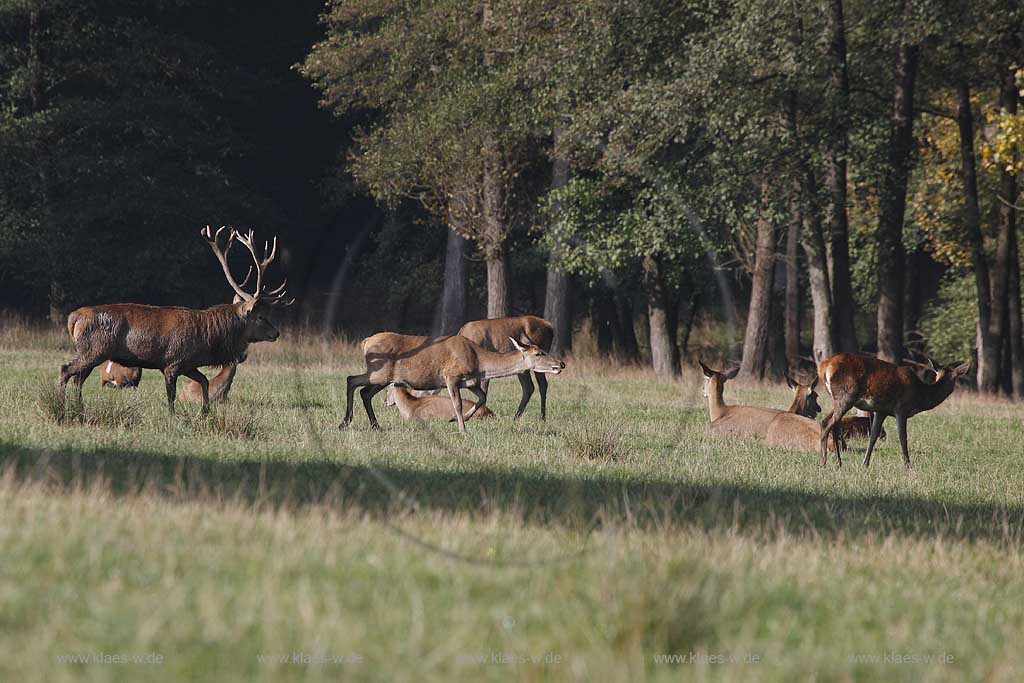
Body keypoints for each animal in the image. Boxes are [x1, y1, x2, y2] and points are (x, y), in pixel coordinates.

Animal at [58, 227, 292, 413]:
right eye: (261, 316)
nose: (276, 333)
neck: (208, 339)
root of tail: (73, 318)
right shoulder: (173, 360)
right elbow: (171, 396)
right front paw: (173, 416)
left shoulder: (188, 364)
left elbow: (204, 381)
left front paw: (205, 411)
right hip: (94, 349)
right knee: (65, 370)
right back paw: (60, 405)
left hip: (91, 352)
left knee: (78, 378)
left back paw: (79, 407)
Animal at [342, 331, 569, 432]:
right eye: (539, 353)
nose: (561, 363)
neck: (479, 362)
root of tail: (366, 341)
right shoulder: (451, 376)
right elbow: (457, 404)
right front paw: (462, 428)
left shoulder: (471, 381)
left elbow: (483, 397)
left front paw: (455, 421)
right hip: (378, 372)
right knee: (351, 380)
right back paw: (345, 422)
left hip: (385, 378)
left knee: (364, 392)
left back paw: (375, 426)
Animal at [815, 352, 966, 471]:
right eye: (954, 378)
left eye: (937, 376)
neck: (920, 397)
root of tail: (823, 367)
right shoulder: (901, 409)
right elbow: (903, 438)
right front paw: (908, 465)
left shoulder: (881, 410)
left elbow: (873, 436)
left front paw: (865, 463)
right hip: (846, 396)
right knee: (827, 422)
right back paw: (823, 462)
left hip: (837, 398)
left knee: (831, 423)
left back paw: (838, 462)